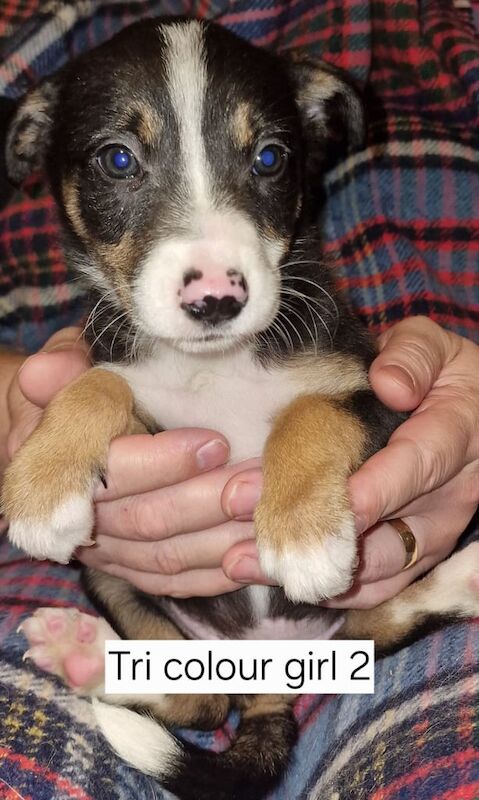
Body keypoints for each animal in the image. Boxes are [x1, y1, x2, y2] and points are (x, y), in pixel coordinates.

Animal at [3, 18, 479, 800]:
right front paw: (43, 488)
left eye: (269, 158)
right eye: (117, 159)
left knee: (381, 620)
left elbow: (310, 412)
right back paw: (81, 653)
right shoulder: (152, 414)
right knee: (197, 697)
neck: (217, 364)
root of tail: (266, 675)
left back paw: (463, 574)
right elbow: (97, 384)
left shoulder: (378, 398)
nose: (216, 299)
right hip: (108, 575)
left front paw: (302, 539)